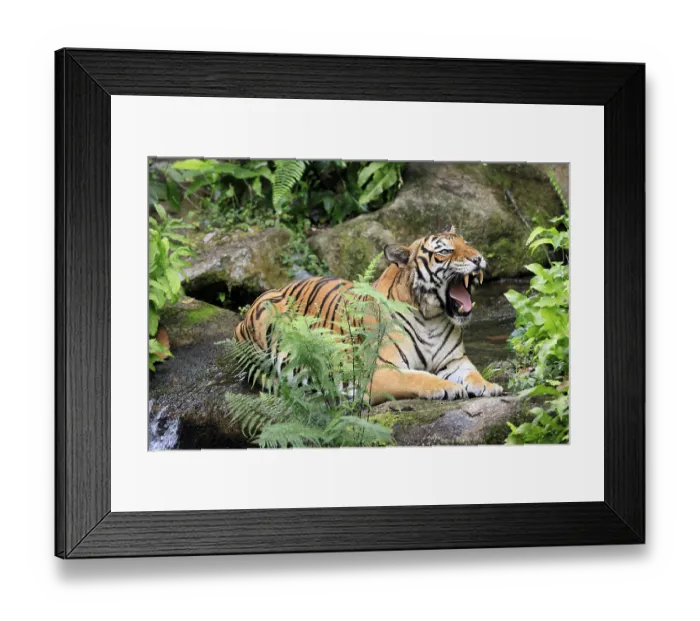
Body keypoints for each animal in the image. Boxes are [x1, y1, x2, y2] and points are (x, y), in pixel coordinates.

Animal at [234, 226, 503, 404]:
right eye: (446, 251)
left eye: (467, 243)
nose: (478, 258)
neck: (432, 318)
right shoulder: (380, 370)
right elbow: (417, 378)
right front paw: (448, 387)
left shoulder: (455, 361)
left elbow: (472, 373)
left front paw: (488, 386)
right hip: (265, 314)